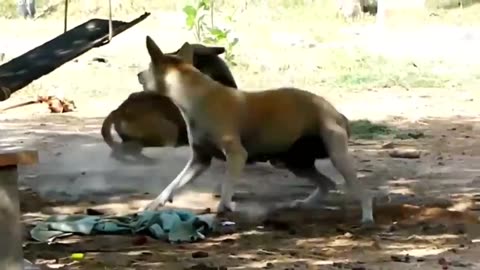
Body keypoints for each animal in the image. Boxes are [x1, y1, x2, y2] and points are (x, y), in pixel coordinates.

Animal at [141, 36, 374, 226]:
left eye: (148, 68)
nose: (138, 75)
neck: (194, 93)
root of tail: (335, 112)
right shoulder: (199, 160)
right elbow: (172, 185)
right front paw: (153, 205)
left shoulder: (236, 155)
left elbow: (226, 187)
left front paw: (224, 208)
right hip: (293, 162)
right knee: (327, 183)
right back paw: (304, 203)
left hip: (336, 155)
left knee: (361, 190)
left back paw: (367, 216)